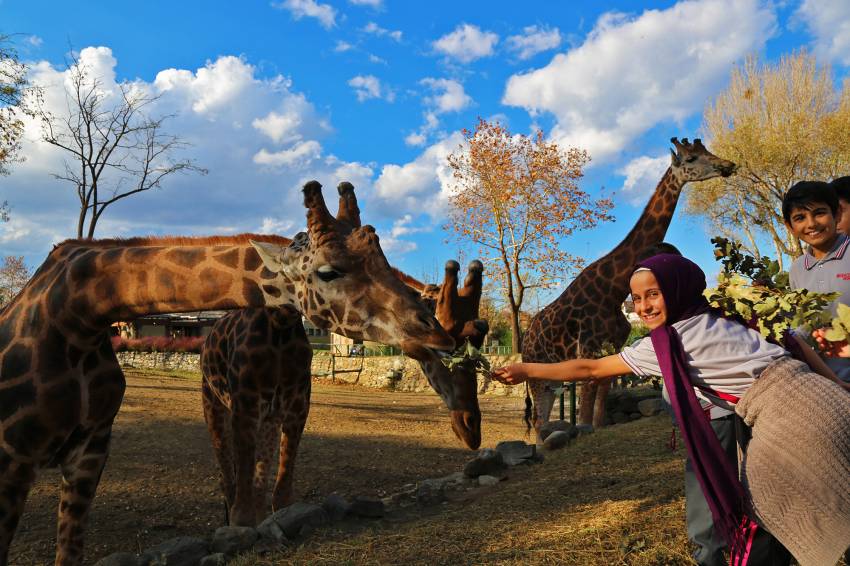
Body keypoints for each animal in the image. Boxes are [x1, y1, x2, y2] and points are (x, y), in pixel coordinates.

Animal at [0, 180, 454, 564]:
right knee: (228, 476)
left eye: (383, 258)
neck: (80, 312)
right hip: (213, 407)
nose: (438, 334)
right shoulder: (15, 457)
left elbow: (279, 494)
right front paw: (239, 530)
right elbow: (242, 504)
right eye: (328, 271)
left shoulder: (90, 449)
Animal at [200, 185, 486, 528]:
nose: (472, 429)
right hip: (214, 402)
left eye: (480, 338)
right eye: (451, 348)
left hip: (268, 416)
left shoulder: (296, 408)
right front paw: (241, 526)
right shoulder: (244, 408)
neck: (279, 327)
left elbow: (280, 496)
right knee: (226, 475)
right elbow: (241, 505)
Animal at [520, 138, 732, 440]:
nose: (728, 165)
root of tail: (525, 339)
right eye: (691, 158)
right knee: (538, 422)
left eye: (706, 152)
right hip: (537, 375)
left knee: (542, 419)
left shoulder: (611, 348)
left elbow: (599, 411)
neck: (612, 291)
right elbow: (585, 411)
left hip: (550, 379)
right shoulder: (587, 349)